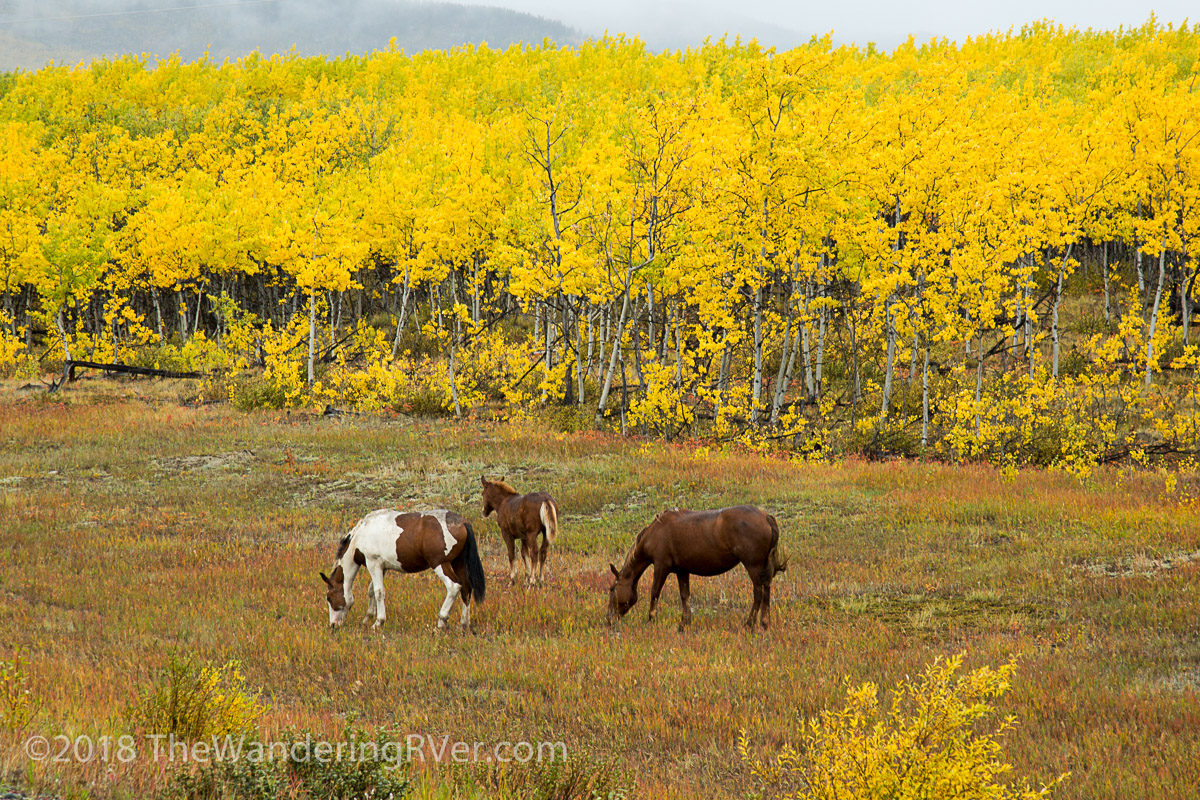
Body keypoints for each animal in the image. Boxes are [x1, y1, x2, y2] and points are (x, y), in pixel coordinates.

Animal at [320, 508, 486, 630]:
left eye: (329, 598)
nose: (333, 625)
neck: (361, 535)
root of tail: (461, 522)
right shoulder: (381, 567)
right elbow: (371, 590)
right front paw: (367, 618)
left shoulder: (373, 564)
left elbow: (379, 592)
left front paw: (378, 622)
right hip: (459, 563)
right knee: (466, 588)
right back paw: (464, 624)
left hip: (440, 564)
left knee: (453, 586)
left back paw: (441, 621)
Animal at [607, 506, 787, 631]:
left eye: (612, 589)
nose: (608, 619)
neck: (655, 531)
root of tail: (766, 516)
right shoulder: (682, 570)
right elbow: (684, 595)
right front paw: (684, 623)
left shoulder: (660, 566)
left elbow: (655, 592)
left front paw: (651, 619)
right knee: (766, 590)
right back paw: (764, 623)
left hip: (753, 566)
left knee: (758, 593)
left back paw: (749, 623)